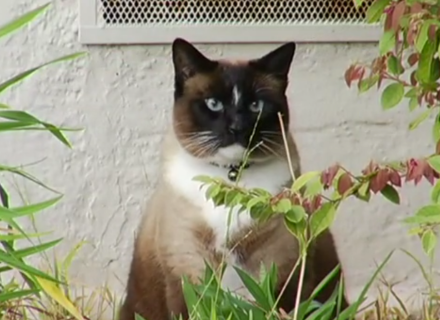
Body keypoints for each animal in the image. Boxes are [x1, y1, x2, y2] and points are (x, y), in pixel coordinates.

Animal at [118, 38, 348, 320]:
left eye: (255, 106)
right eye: (214, 104)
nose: (237, 127)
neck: (231, 176)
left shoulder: (279, 273)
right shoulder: (188, 271)